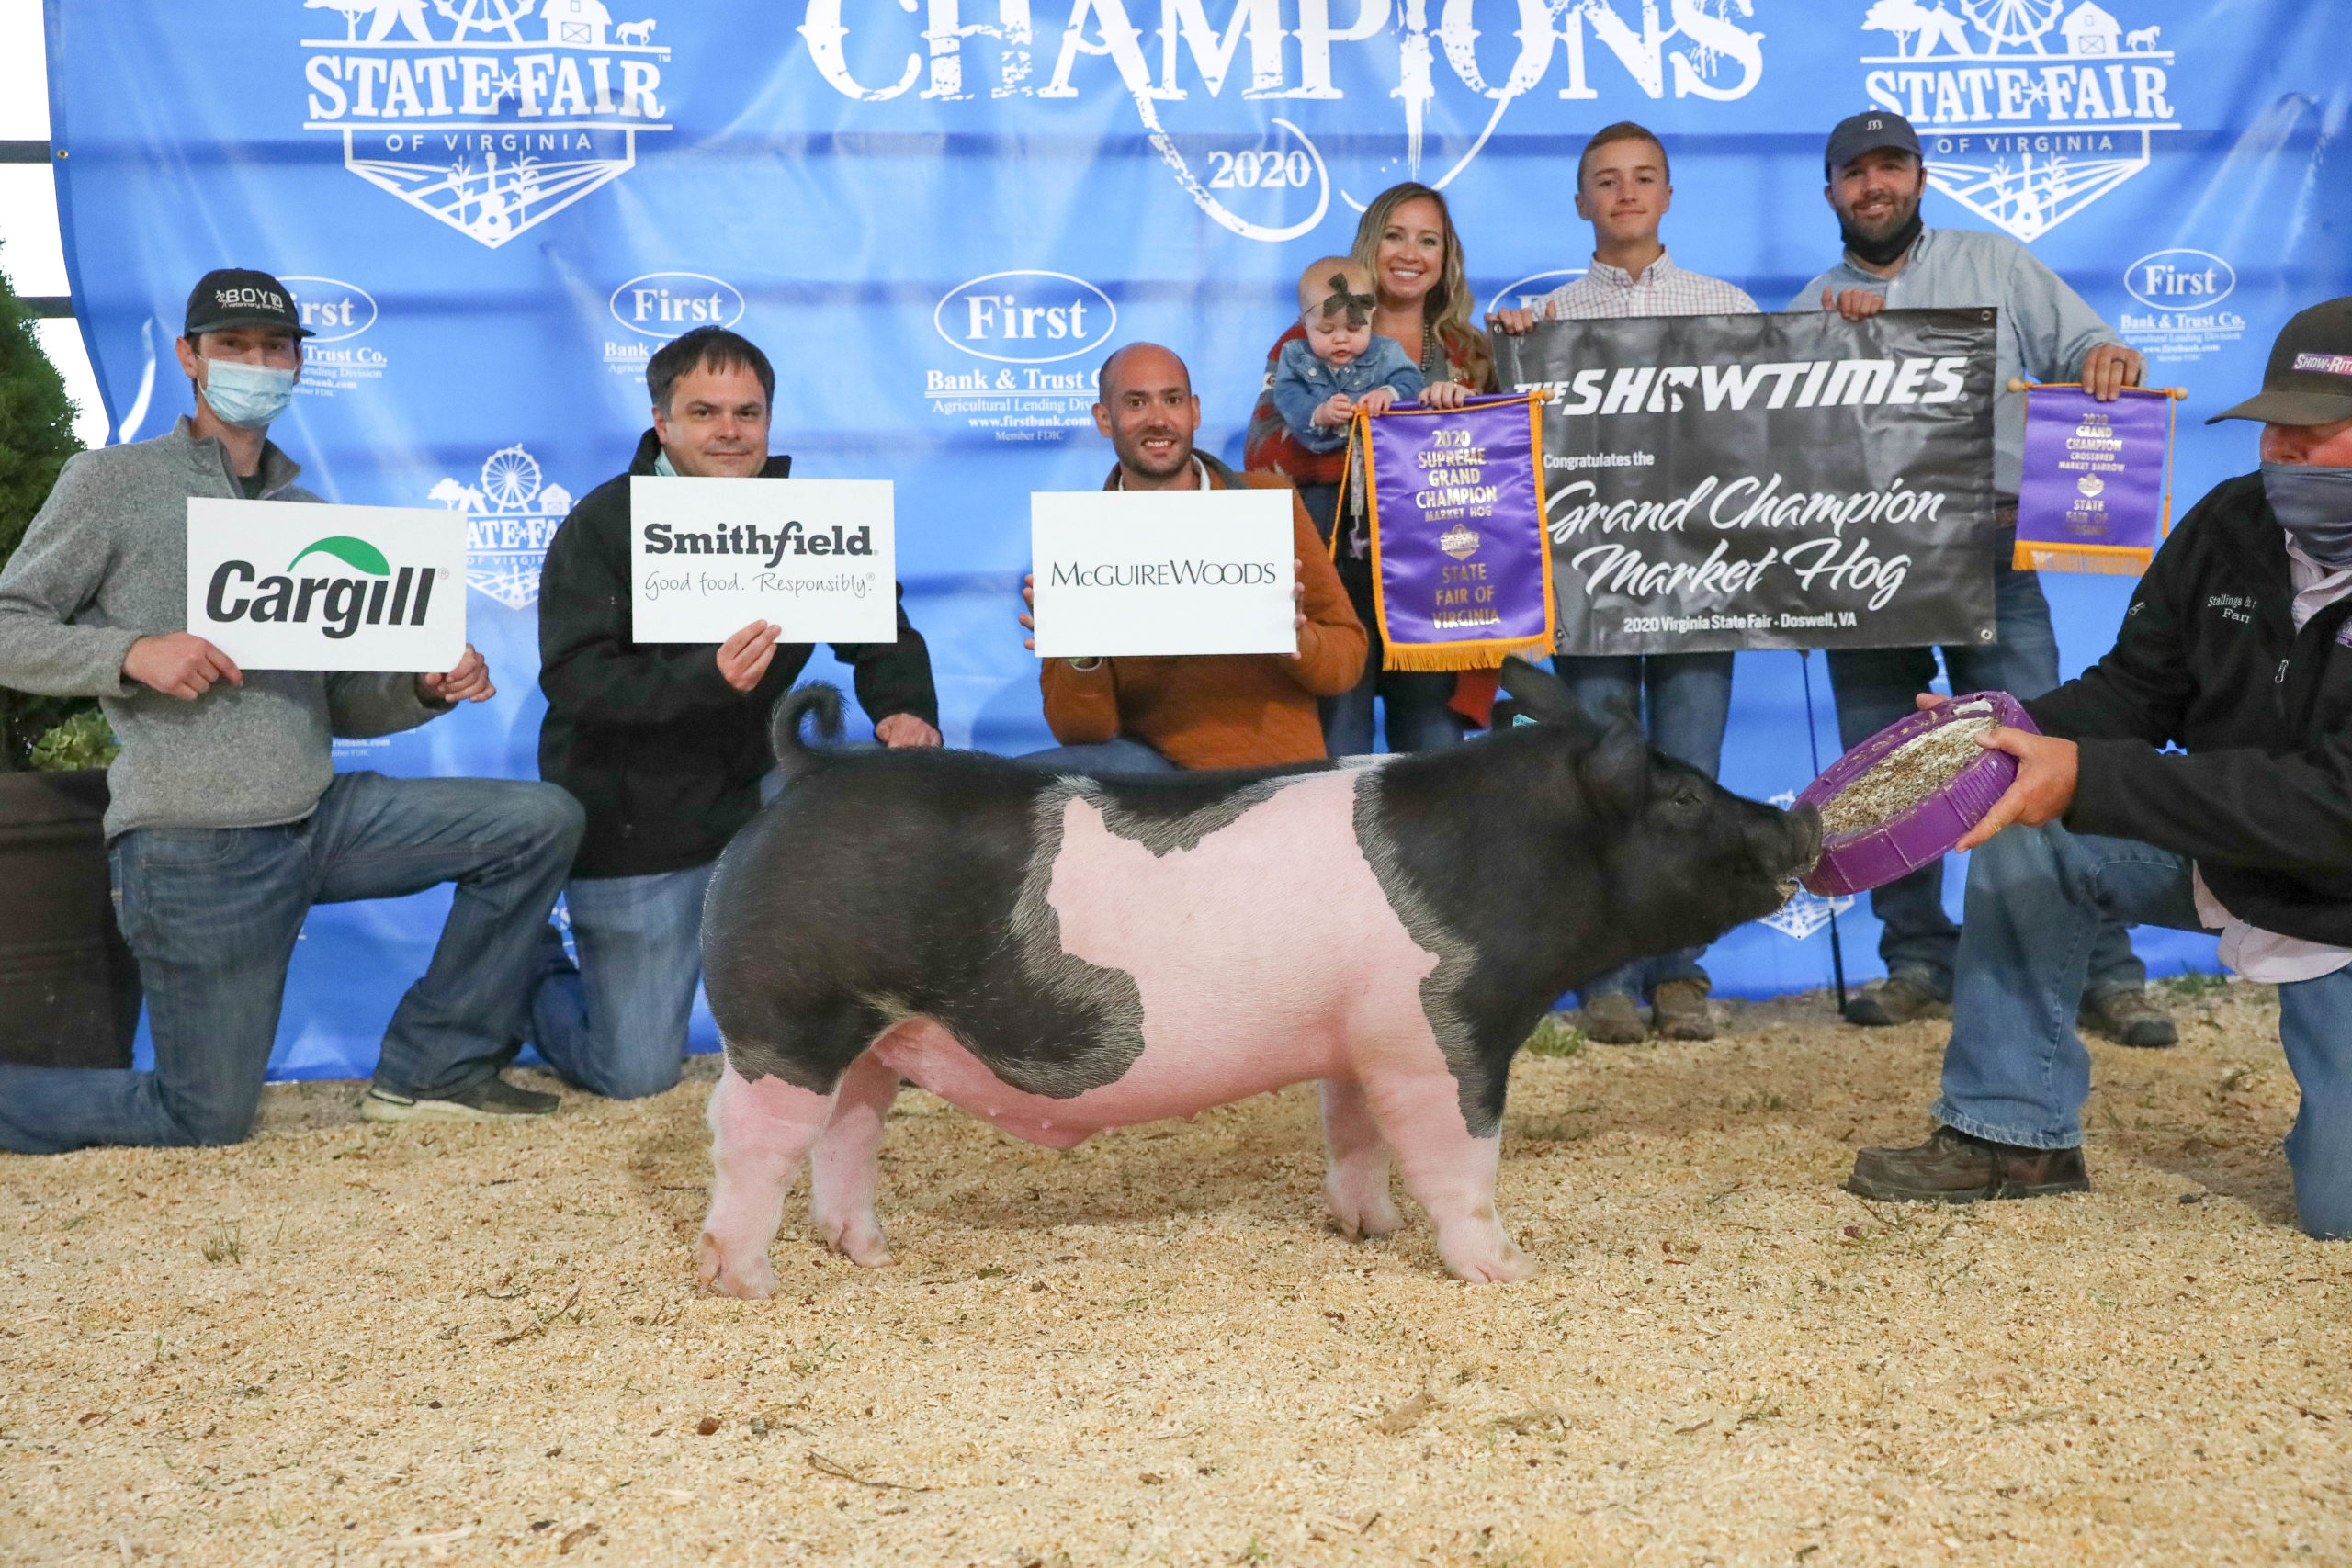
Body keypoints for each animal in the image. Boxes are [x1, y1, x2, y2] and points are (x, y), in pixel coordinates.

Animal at [694, 657, 1819, 1296]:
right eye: (1680, 796)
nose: (1800, 817)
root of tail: (811, 770)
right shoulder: (1442, 1029)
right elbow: (1462, 1156)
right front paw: (1507, 1270)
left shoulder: (1360, 1038)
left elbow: (1354, 1137)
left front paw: (1368, 1231)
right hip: (787, 1021)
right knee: (749, 1140)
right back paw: (747, 1282)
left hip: (872, 1039)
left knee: (847, 1134)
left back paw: (868, 1254)